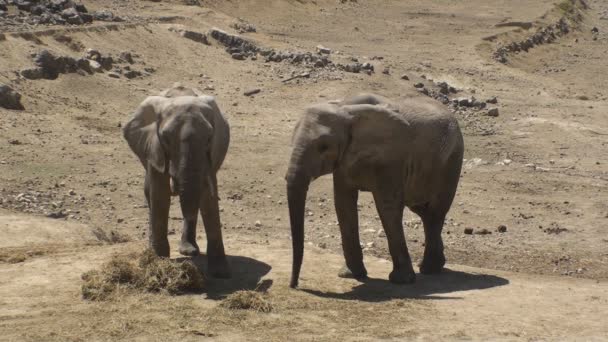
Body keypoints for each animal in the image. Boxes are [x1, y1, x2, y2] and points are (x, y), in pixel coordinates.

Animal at [123, 83, 230, 278]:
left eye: (209, 138)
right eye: (165, 137)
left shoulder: (211, 155)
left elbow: (207, 198)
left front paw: (221, 274)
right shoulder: (154, 148)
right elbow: (160, 194)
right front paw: (157, 262)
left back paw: (188, 250)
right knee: (150, 194)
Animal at [288, 92, 464, 288]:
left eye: (323, 147)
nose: (294, 285)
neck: (345, 109)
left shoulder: (391, 158)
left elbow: (387, 206)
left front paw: (401, 281)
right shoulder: (344, 162)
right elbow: (343, 204)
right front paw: (351, 275)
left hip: (452, 160)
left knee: (436, 211)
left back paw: (429, 269)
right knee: (423, 211)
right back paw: (434, 265)